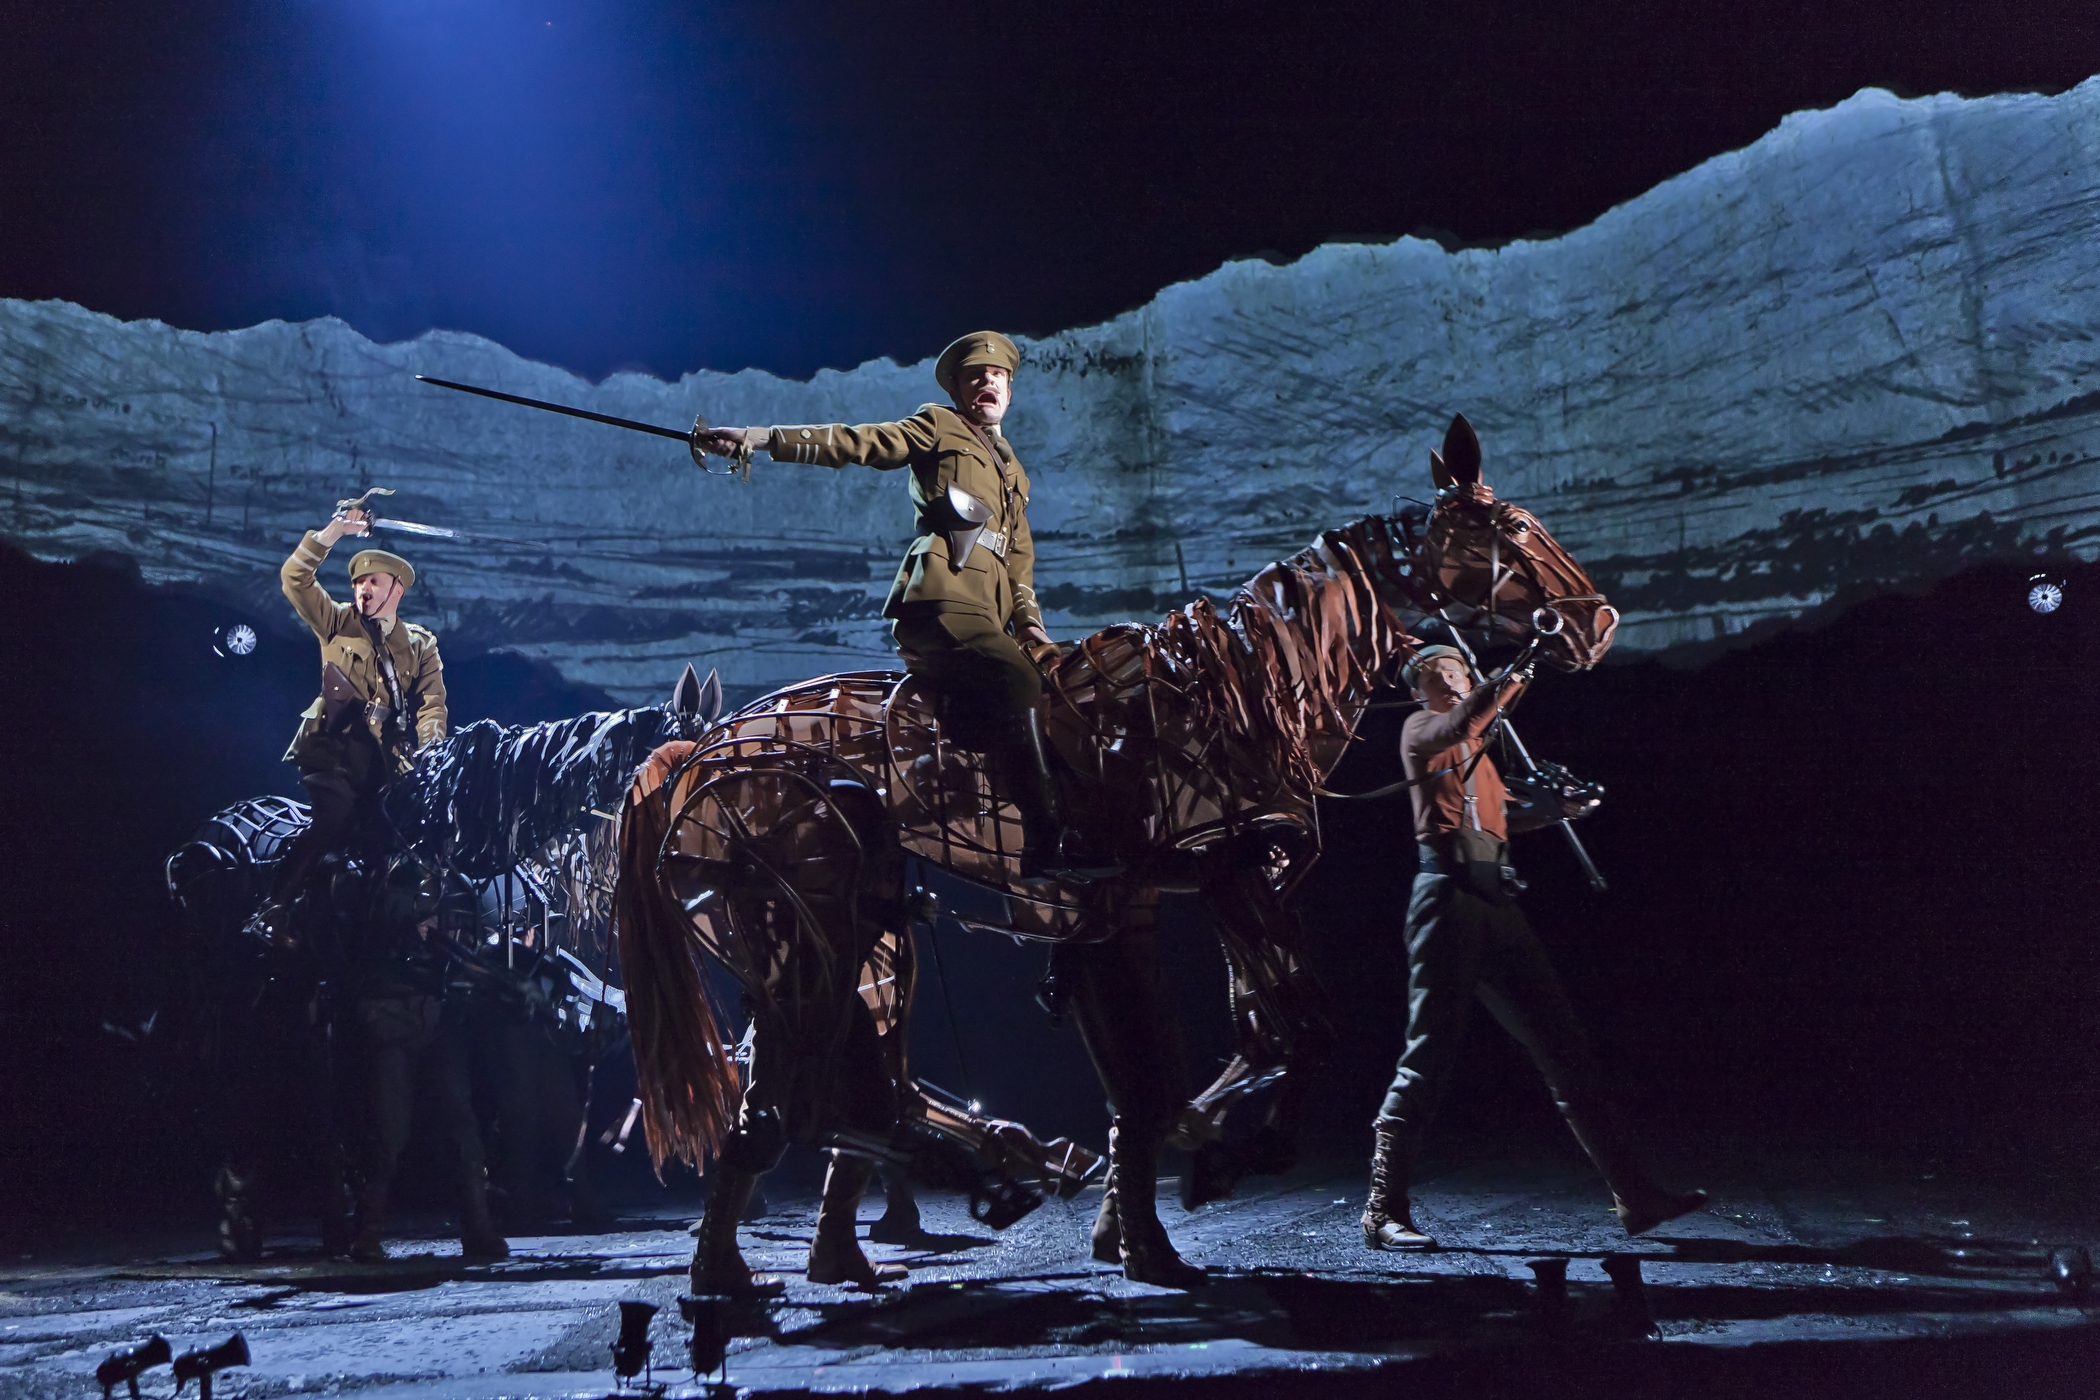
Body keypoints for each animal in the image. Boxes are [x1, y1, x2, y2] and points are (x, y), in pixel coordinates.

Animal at [613, 413, 1612, 1292]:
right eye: (1510, 529)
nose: (1595, 624)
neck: (1248, 685)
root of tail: (698, 754)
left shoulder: (1152, 902)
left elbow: (1177, 1064)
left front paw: (1145, 1222)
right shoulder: (1233, 874)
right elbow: (1297, 1032)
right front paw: (1223, 1160)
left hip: (864, 934)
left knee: (843, 1087)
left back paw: (851, 1242)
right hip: (799, 931)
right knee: (810, 1096)